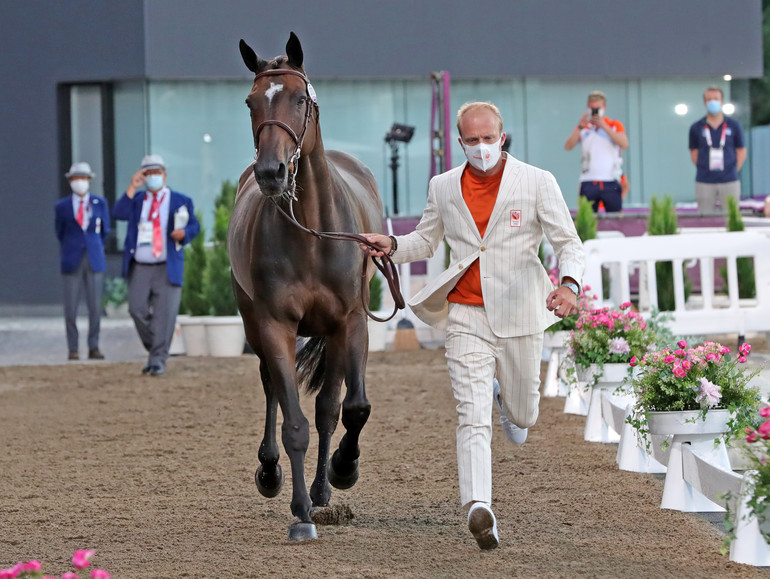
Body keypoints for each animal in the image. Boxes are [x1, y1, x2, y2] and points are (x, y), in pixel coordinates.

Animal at [225, 34, 388, 540]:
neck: (313, 233)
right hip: (253, 321)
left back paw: (323, 489)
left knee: (330, 407)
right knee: (273, 389)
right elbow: (294, 420)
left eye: (300, 99)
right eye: (251, 102)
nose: (271, 172)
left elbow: (352, 409)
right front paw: (299, 513)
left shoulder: (351, 322)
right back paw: (273, 472)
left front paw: (343, 469)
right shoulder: (275, 325)